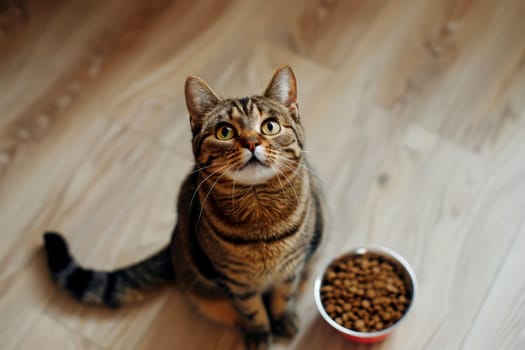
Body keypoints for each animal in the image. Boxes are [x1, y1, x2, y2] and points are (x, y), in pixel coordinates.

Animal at [44, 65, 324, 350]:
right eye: (225, 132)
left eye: (270, 126)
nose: (251, 142)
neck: (259, 214)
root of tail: (173, 241)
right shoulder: (234, 281)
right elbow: (252, 310)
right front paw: (259, 333)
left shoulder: (291, 268)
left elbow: (283, 297)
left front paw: (283, 320)